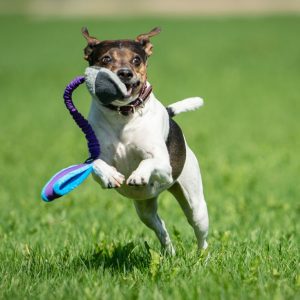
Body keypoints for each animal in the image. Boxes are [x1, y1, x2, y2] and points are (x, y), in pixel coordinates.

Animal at [82, 26, 209, 255]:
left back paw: (203, 257)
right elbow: (96, 164)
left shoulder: (163, 164)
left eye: (136, 60)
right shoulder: (94, 158)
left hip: (195, 204)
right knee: (160, 227)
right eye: (106, 59)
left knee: (200, 233)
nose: (125, 73)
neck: (123, 115)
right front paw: (110, 175)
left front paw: (138, 174)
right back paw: (169, 252)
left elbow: (148, 161)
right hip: (144, 208)